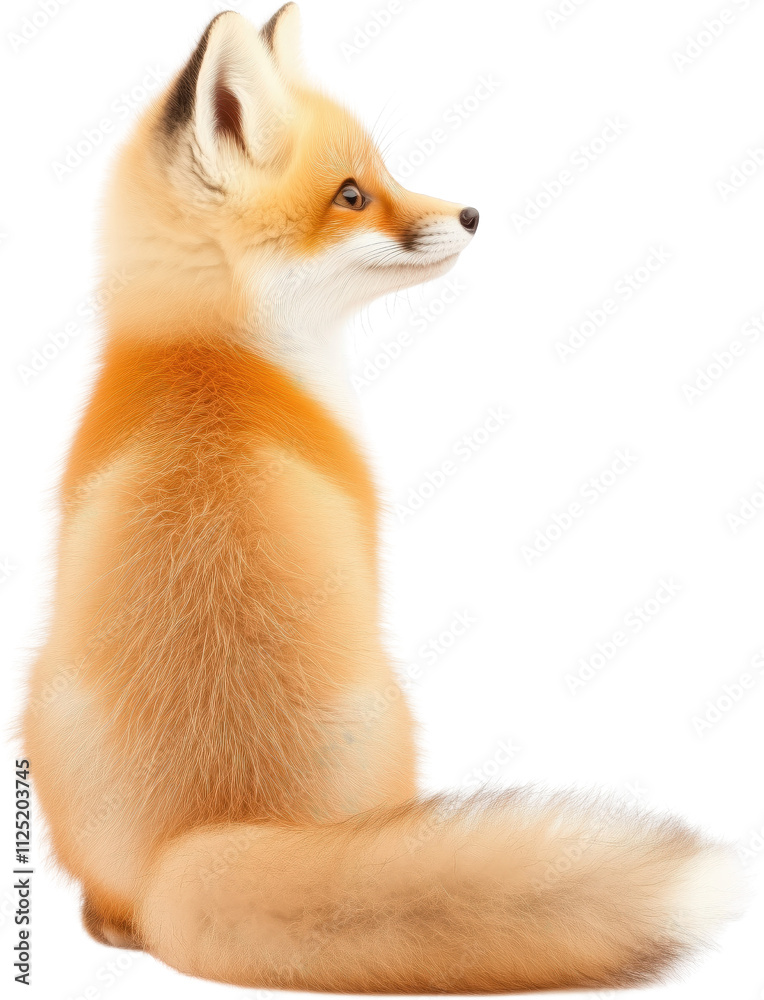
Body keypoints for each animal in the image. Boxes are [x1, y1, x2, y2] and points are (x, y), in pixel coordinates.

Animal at [20, 4, 742, 993]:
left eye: (384, 175)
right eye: (353, 196)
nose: (471, 212)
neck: (210, 355)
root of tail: (203, 837)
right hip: (391, 708)